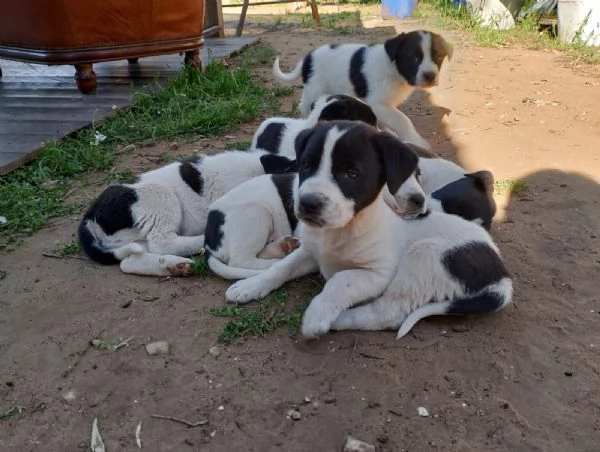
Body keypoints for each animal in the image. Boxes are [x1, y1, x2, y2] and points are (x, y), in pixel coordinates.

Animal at [79, 150, 296, 276]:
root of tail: (90, 216)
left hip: (128, 240)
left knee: (130, 261)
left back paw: (173, 266)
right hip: (160, 196)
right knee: (162, 242)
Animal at [225, 121, 510, 340]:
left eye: (351, 174)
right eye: (306, 165)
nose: (307, 204)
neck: (341, 230)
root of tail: (501, 276)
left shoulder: (377, 274)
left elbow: (341, 281)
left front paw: (318, 315)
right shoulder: (310, 252)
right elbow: (281, 268)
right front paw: (251, 286)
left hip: (423, 257)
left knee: (388, 313)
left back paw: (339, 320)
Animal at [272, 30, 450, 150]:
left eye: (439, 57)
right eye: (414, 57)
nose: (430, 76)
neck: (392, 68)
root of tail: (308, 57)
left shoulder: (384, 105)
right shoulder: (378, 103)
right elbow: (402, 119)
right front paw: (416, 140)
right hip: (315, 87)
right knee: (305, 105)